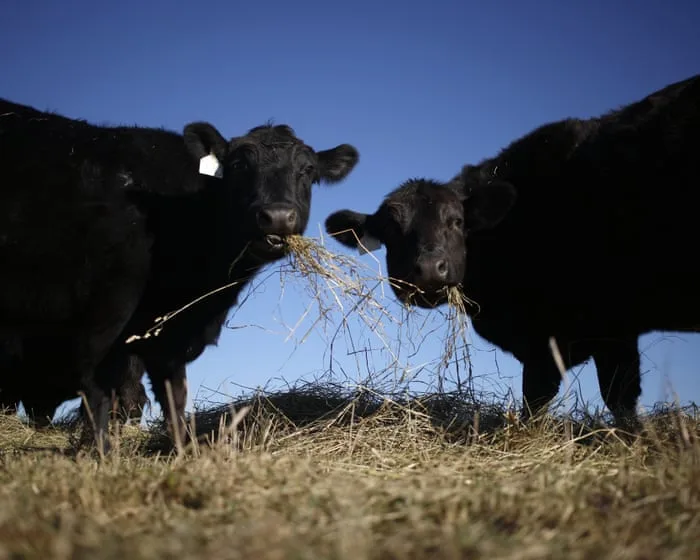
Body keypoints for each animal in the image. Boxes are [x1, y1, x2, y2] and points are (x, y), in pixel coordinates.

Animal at [1, 98, 359, 451]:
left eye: (308, 171)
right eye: (239, 166)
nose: (278, 217)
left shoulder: (168, 336)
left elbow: (174, 396)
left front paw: (185, 451)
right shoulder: (105, 318)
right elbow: (101, 394)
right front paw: (96, 453)